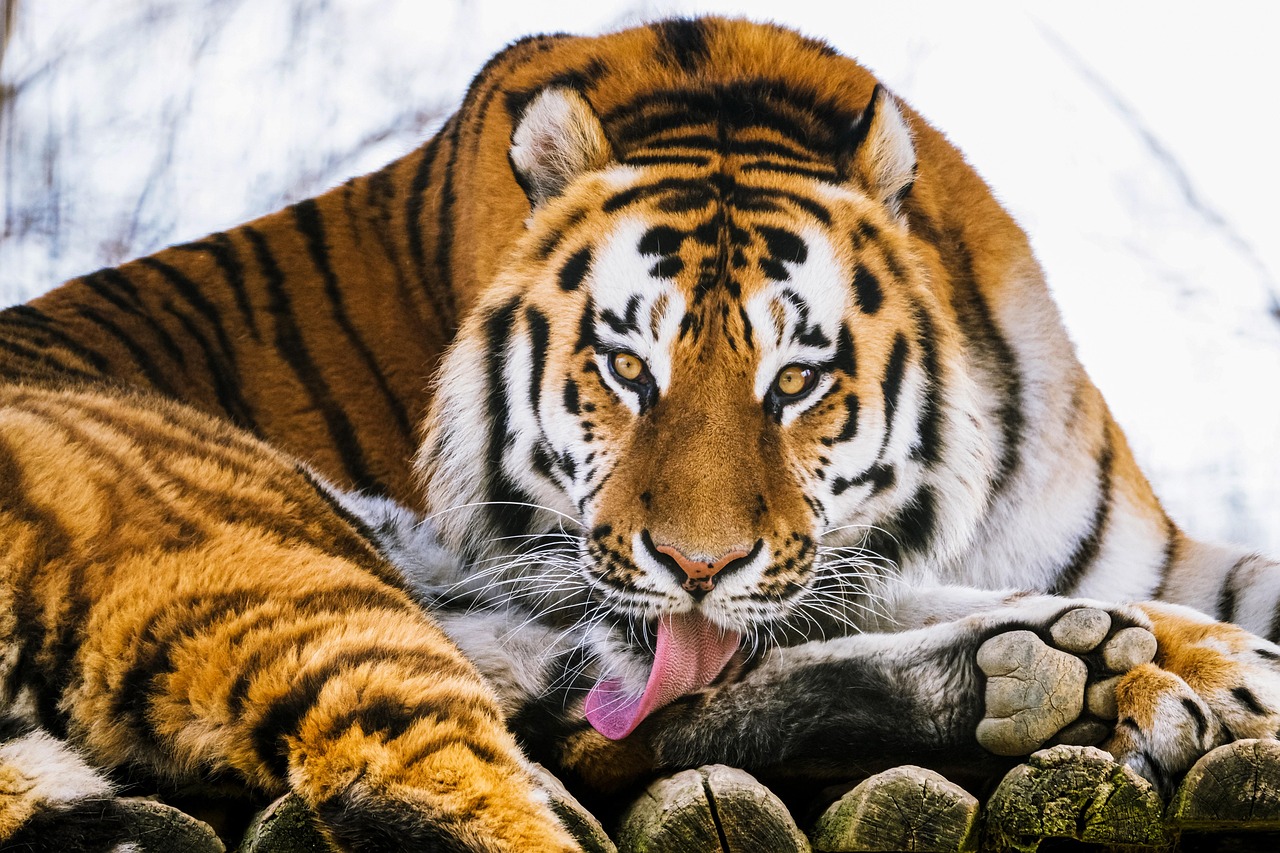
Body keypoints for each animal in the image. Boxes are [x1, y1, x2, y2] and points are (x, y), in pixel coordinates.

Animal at [3, 14, 1280, 851]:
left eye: (796, 379)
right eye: (624, 367)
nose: (697, 566)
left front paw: (1178, 655)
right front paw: (1194, 668)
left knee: (625, 713)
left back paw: (1046, 666)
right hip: (291, 567)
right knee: (452, 767)